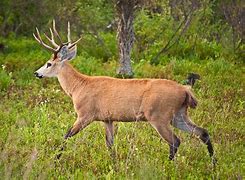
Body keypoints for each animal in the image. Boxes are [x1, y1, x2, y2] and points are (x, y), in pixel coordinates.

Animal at [33, 20, 215, 162]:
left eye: (49, 63)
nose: (36, 73)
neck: (79, 86)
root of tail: (185, 90)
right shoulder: (107, 119)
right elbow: (110, 144)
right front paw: (114, 164)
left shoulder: (85, 114)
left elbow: (66, 135)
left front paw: (54, 160)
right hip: (179, 115)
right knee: (203, 133)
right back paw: (213, 165)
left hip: (159, 116)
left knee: (175, 141)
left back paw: (168, 166)